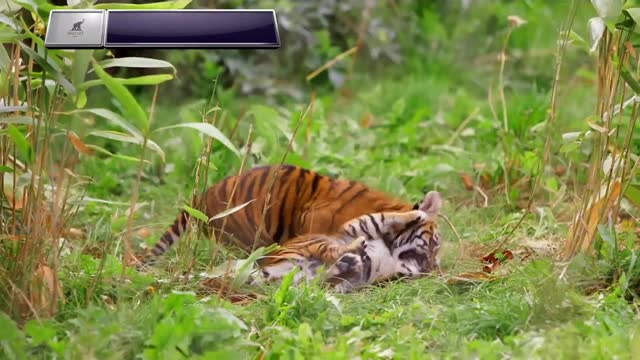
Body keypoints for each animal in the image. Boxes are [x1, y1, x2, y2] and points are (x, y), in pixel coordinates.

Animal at [258, 191, 442, 292]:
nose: (428, 268)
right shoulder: (357, 225)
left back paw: (350, 263)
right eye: (433, 244)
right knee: (331, 251)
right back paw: (355, 253)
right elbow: (385, 217)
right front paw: (418, 215)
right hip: (312, 242)